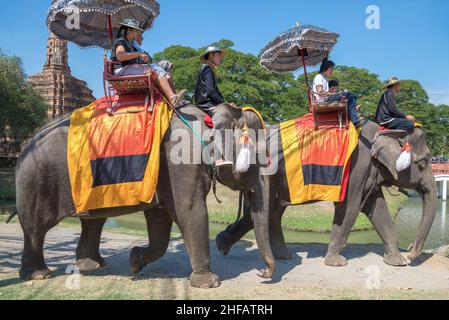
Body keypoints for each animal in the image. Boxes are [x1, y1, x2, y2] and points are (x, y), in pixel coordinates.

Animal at [14, 102, 272, 288]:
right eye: (257, 157)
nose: (263, 273)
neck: (207, 116)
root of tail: (24, 145)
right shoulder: (179, 163)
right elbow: (190, 212)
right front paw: (209, 283)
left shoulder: (165, 173)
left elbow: (160, 220)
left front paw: (135, 261)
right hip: (36, 181)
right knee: (36, 228)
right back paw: (39, 275)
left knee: (93, 221)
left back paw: (92, 266)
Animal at [217, 121, 438, 266]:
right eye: (425, 161)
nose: (411, 253)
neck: (384, 132)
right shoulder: (357, 167)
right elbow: (349, 209)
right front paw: (337, 262)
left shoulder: (367, 173)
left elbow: (378, 210)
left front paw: (397, 262)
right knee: (263, 213)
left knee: (269, 213)